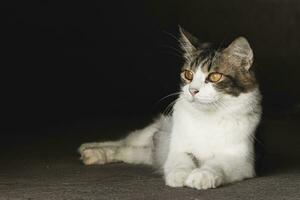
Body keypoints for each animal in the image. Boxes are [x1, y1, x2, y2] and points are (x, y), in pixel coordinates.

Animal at [78, 26, 262, 189]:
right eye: (188, 75)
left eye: (215, 77)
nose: (192, 90)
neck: (207, 117)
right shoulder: (177, 148)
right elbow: (181, 160)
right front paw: (179, 175)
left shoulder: (241, 160)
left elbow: (217, 164)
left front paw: (202, 175)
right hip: (150, 132)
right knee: (124, 141)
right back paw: (89, 148)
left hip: (146, 152)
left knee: (127, 152)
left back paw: (94, 155)